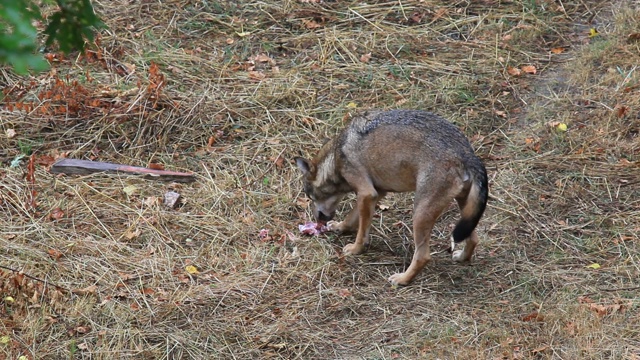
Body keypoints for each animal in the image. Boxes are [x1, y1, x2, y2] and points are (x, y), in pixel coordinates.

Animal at [296, 108, 490, 286]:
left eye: (309, 196)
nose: (316, 219)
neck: (336, 155)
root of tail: (468, 154)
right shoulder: (377, 193)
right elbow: (352, 218)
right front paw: (339, 227)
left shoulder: (367, 193)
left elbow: (361, 231)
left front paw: (356, 249)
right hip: (464, 211)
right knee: (474, 238)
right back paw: (462, 258)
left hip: (419, 215)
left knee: (423, 256)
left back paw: (402, 279)